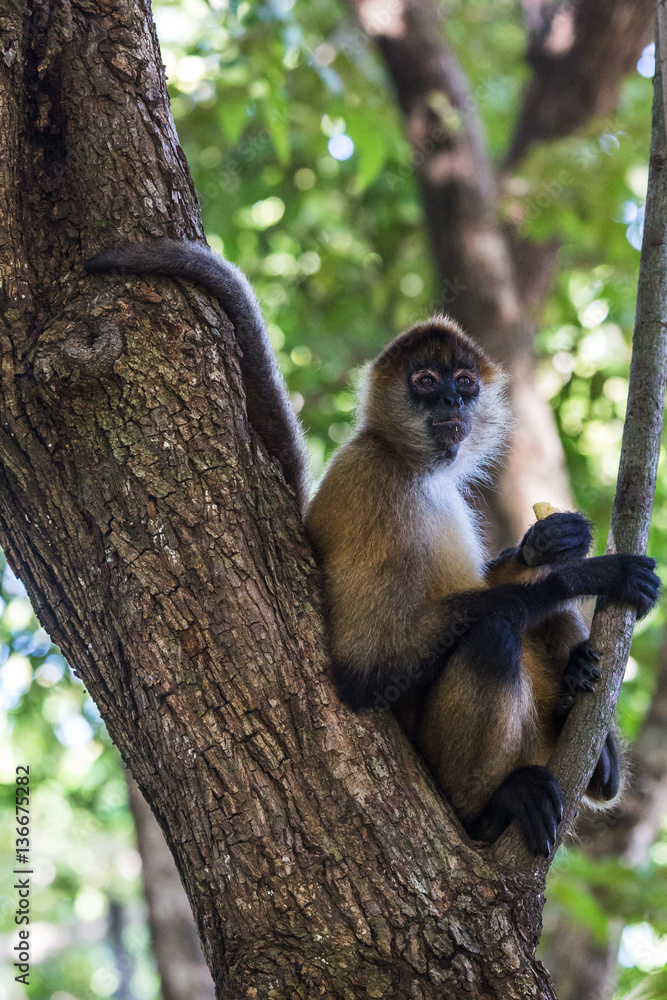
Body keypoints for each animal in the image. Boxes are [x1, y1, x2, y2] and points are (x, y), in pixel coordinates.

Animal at [85, 240, 660, 857]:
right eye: (426, 381)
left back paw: (592, 743)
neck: (409, 461)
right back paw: (492, 810)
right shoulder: (376, 484)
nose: (453, 397)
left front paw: (548, 544)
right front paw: (585, 575)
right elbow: (364, 674)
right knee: (494, 636)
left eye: (465, 382)